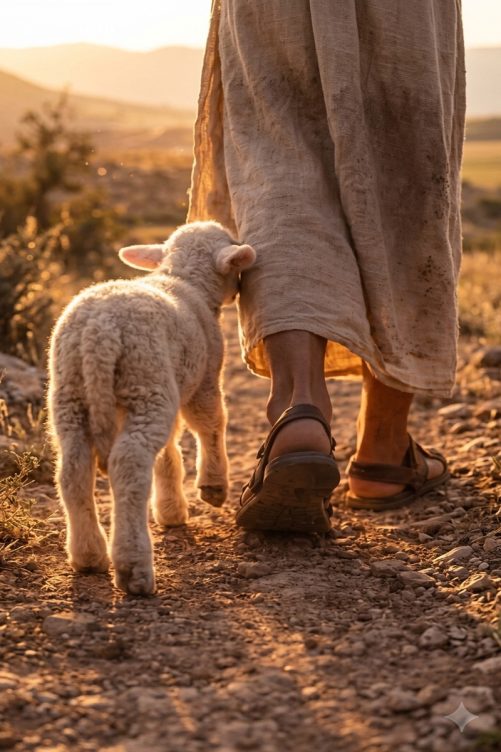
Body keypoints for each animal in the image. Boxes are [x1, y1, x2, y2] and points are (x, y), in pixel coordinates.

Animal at [47, 221, 256, 596]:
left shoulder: (174, 378)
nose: (239, 290)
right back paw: (134, 569)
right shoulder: (204, 377)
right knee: (130, 463)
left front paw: (171, 509)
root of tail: (99, 332)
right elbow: (210, 424)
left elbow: (170, 452)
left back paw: (88, 556)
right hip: (145, 381)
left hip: (70, 393)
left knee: (73, 469)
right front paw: (213, 487)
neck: (185, 281)